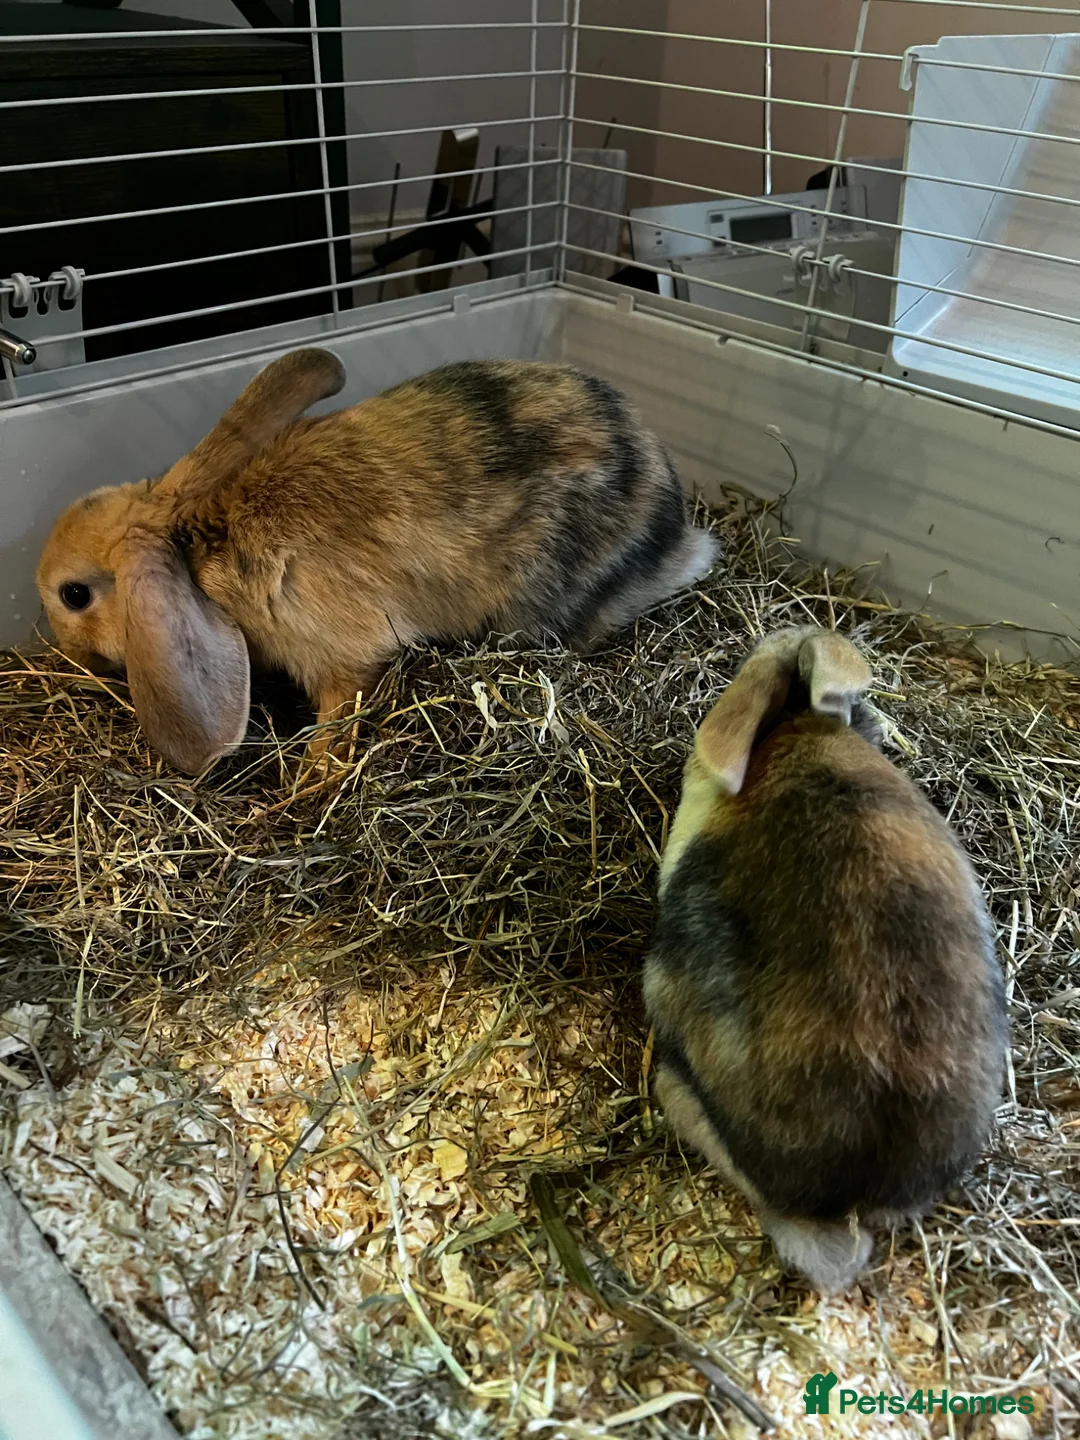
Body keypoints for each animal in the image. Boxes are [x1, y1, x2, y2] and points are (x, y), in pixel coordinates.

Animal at [36, 349, 717, 775]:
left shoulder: (341, 654)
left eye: (74, 595)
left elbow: (340, 711)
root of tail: (677, 539)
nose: (69, 655)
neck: (196, 543)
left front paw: (309, 782)